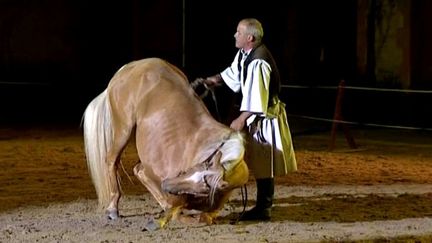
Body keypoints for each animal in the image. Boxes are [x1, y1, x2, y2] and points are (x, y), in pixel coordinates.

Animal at [82, 57, 250, 230]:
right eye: (192, 171)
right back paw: (113, 208)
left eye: (203, 187)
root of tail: (127, 68)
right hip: (123, 129)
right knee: (112, 160)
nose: (167, 185)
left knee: (136, 169)